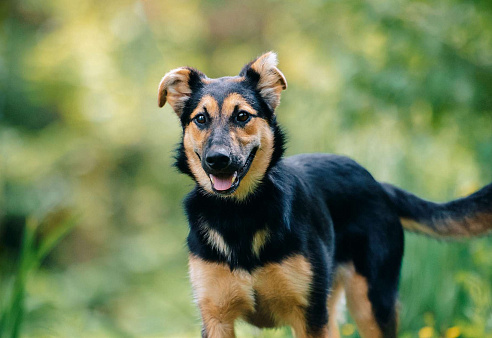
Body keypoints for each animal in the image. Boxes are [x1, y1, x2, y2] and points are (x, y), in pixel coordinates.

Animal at [158, 51, 492, 336]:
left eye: (242, 116)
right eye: (201, 119)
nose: (217, 160)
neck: (239, 212)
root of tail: (377, 185)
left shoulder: (308, 315)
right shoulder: (216, 317)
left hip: (371, 303)